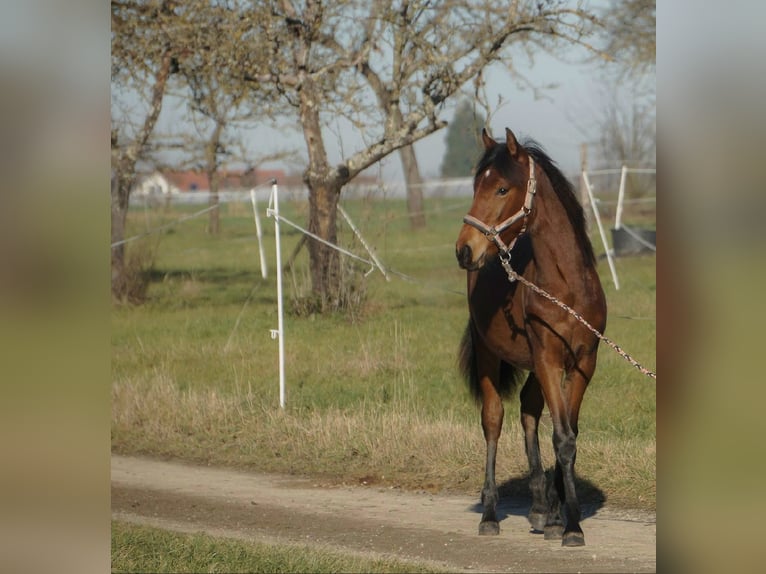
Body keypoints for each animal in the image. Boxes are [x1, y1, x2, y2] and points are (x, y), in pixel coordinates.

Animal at [456, 128, 608, 548]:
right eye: (476, 185)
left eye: (502, 188)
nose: (464, 249)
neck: (567, 288)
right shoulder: (549, 360)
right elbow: (562, 437)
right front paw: (572, 527)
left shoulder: (583, 363)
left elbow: (568, 434)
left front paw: (560, 518)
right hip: (493, 355)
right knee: (493, 420)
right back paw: (490, 514)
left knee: (528, 410)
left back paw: (542, 508)